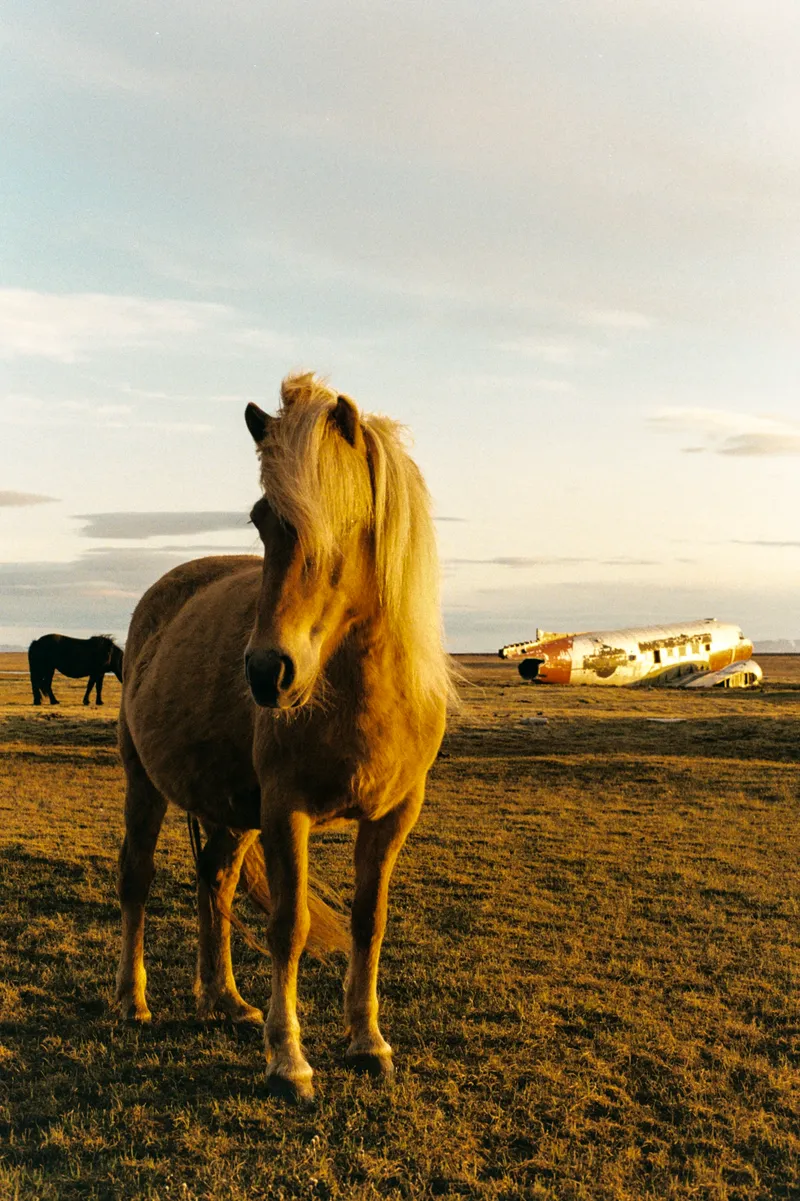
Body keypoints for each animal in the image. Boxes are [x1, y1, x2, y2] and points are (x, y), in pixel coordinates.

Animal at [115, 372, 453, 1101]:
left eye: (350, 524)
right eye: (262, 520)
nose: (268, 671)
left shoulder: (393, 816)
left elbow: (369, 921)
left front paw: (367, 1041)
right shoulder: (285, 811)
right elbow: (289, 927)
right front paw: (289, 1059)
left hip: (234, 809)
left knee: (214, 879)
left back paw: (225, 1000)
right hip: (144, 784)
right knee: (137, 876)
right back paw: (132, 1000)